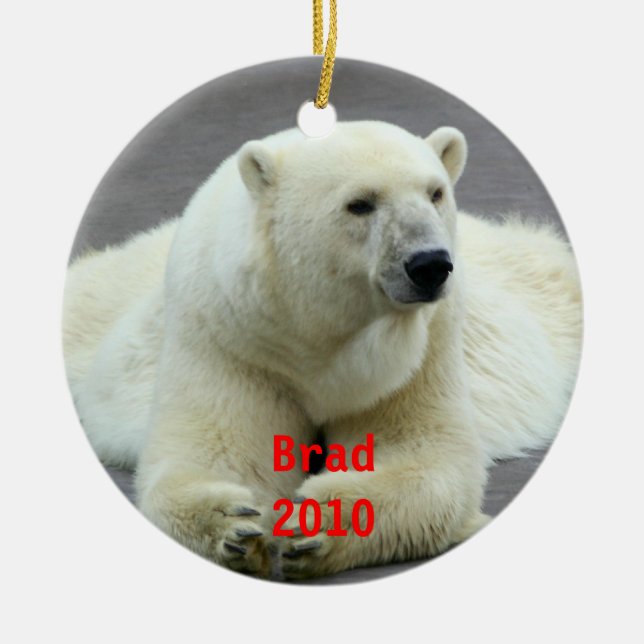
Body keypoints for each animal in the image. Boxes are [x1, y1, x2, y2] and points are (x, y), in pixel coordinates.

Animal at [63, 121, 582, 579]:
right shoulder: (231, 338)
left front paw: (316, 524)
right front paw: (235, 526)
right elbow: (219, 453)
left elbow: (418, 453)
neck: (316, 331)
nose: (430, 264)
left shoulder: (419, 351)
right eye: (360, 204)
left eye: (435, 192)